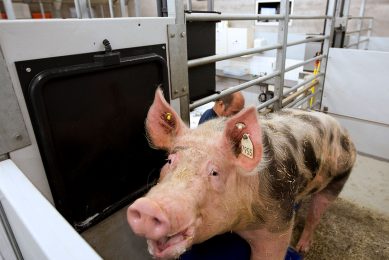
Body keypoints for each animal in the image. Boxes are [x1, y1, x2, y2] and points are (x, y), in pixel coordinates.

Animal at [126, 88, 354, 258]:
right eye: (170, 161)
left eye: (215, 172)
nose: (148, 207)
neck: (240, 224)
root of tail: (343, 130)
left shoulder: (278, 224)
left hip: (340, 178)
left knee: (317, 212)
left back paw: (302, 248)